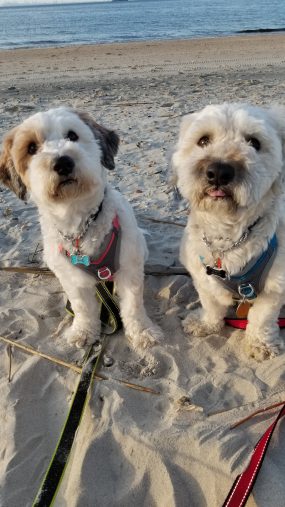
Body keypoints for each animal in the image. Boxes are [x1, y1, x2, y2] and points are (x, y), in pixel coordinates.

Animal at [0, 108, 162, 350]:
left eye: (72, 135)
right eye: (31, 148)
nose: (62, 162)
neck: (80, 223)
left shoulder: (129, 269)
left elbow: (133, 304)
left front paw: (142, 331)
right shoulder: (70, 276)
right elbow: (82, 307)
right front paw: (84, 331)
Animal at [171, 103, 284, 362]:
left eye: (254, 142)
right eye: (203, 140)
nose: (219, 171)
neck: (228, 235)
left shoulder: (275, 286)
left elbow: (262, 318)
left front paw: (259, 343)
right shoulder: (202, 276)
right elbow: (212, 305)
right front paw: (206, 324)